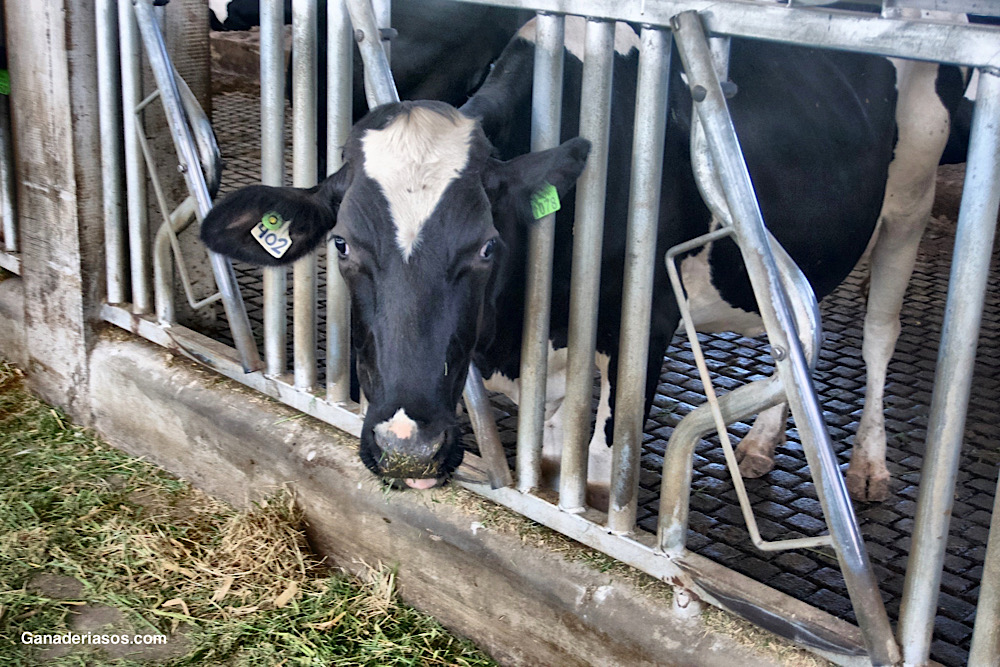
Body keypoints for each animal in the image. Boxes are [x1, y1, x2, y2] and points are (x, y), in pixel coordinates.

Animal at [200, 15, 962, 504]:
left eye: (487, 246)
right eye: (343, 245)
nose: (405, 449)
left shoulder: (646, 325)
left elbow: (594, 476)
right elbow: (543, 456)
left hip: (911, 203)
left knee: (878, 334)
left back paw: (867, 465)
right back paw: (761, 445)